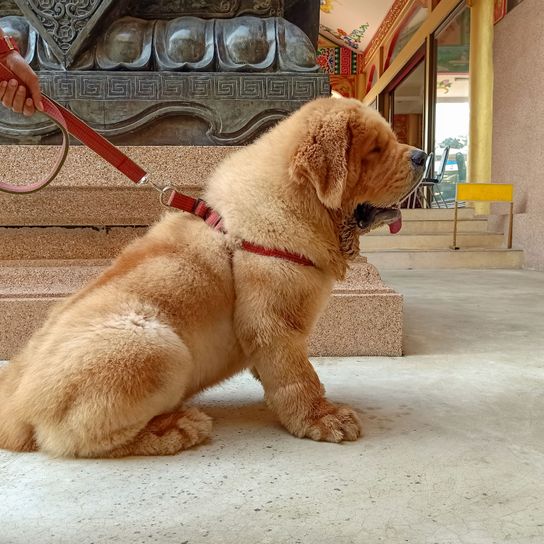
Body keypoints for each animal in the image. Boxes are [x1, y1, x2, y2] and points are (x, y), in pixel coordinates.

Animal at [0, 98, 424, 454]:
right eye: (376, 149)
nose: (423, 155)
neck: (298, 205)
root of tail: (13, 407)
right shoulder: (273, 321)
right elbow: (298, 375)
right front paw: (322, 417)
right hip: (158, 347)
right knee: (79, 438)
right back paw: (176, 428)